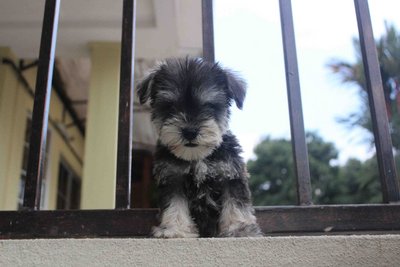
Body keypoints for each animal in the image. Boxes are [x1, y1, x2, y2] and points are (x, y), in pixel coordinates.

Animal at [138, 57, 262, 238]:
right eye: (170, 107)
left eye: (209, 105)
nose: (190, 131)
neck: (197, 157)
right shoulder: (173, 178)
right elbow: (174, 206)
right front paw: (175, 229)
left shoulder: (231, 174)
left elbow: (236, 204)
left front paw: (239, 229)